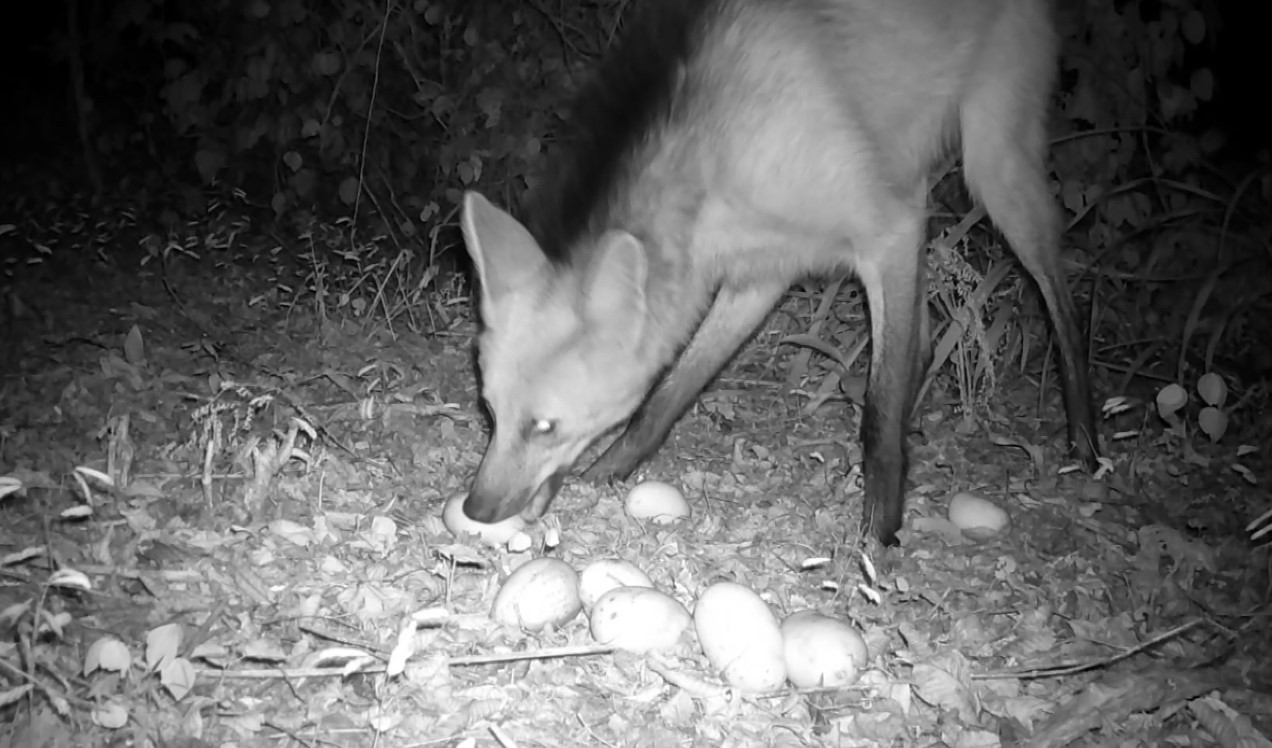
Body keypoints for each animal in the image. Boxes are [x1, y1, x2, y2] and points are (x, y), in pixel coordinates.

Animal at [463, 0, 1099, 544]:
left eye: (545, 426)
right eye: (490, 412)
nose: (476, 507)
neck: (720, 151)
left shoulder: (885, 230)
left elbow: (878, 410)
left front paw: (878, 534)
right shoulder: (759, 273)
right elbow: (668, 394)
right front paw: (609, 471)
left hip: (993, 169)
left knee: (1059, 295)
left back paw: (1087, 442)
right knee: (921, 343)